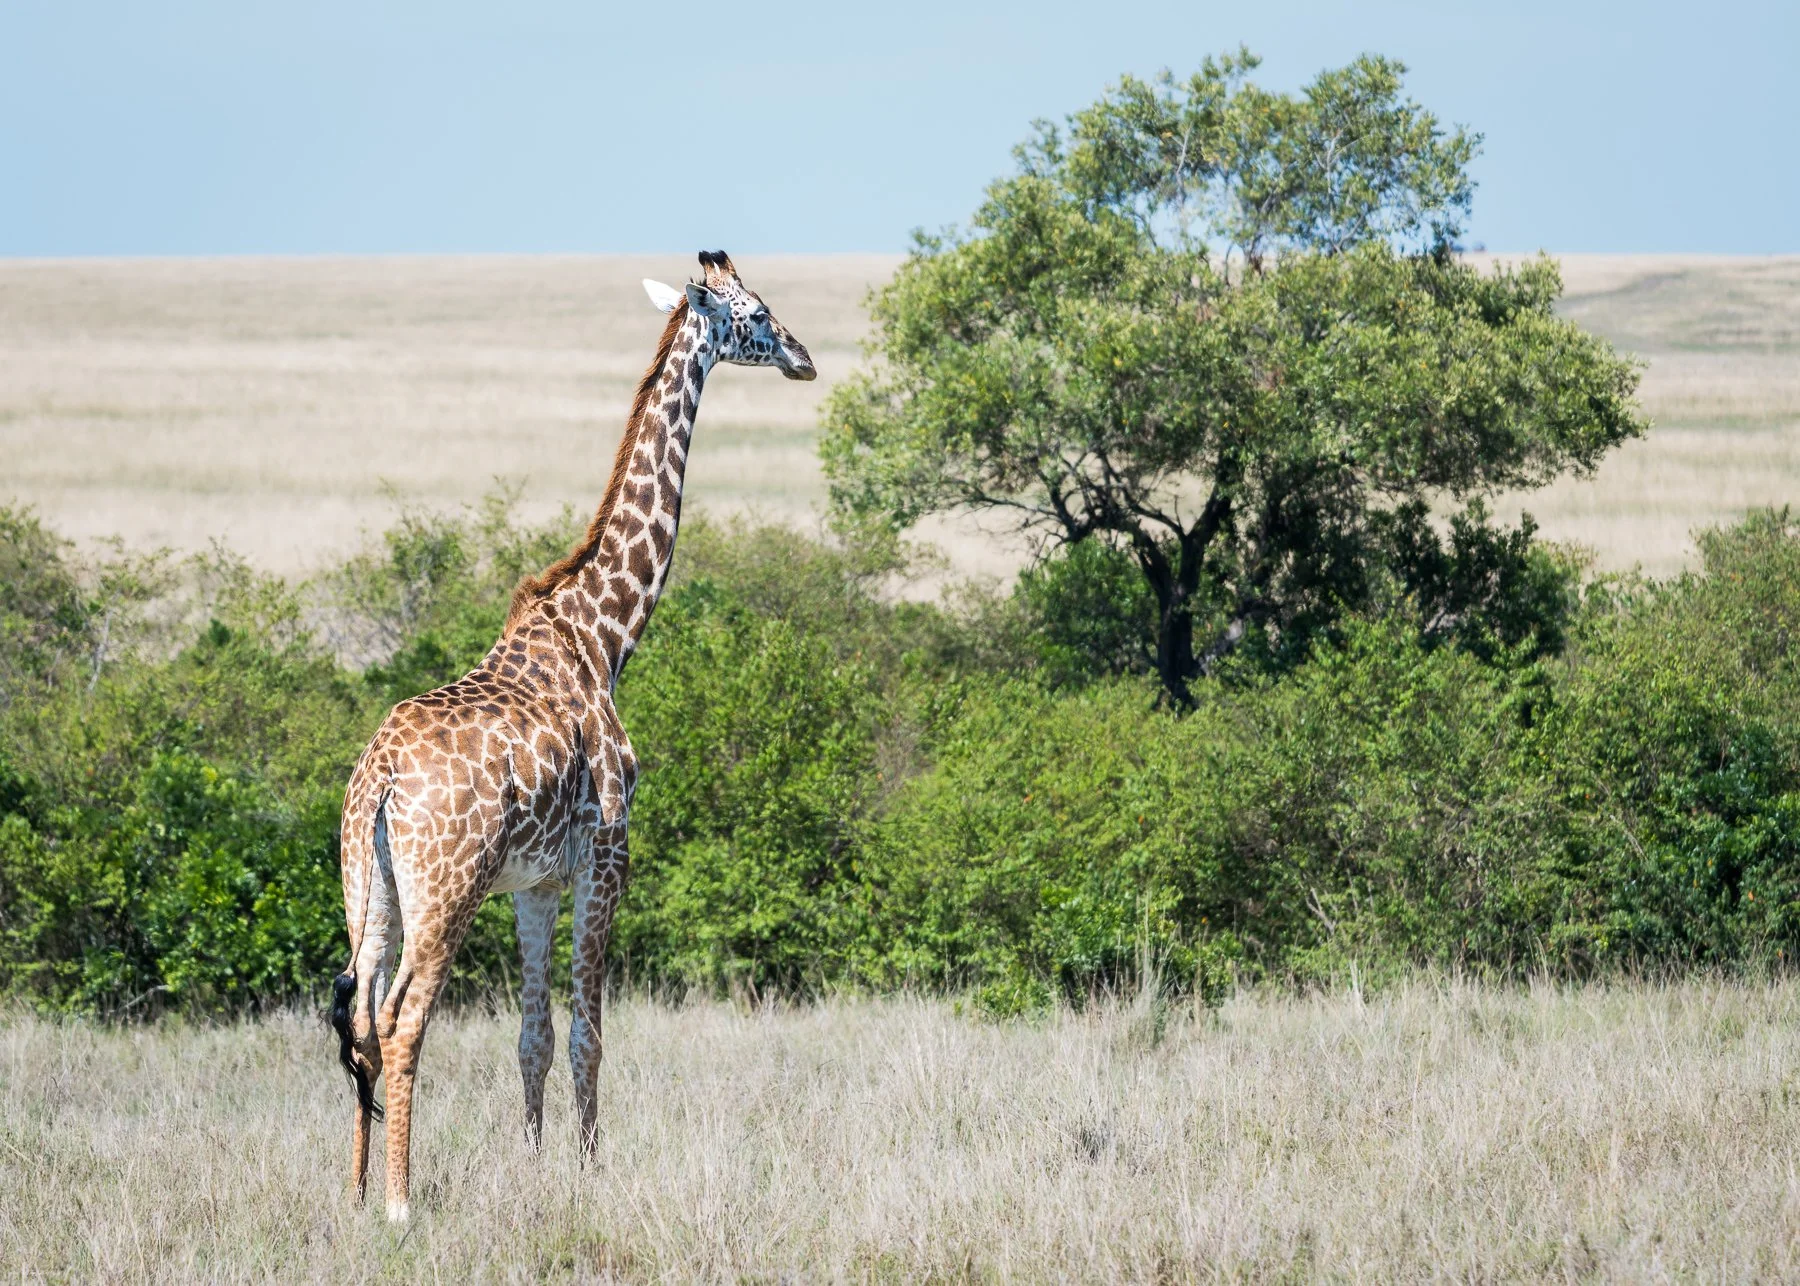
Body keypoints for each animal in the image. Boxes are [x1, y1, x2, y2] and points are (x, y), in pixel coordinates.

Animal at [328, 251, 816, 1222]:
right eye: (755, 313)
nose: (804, 356)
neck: (605, 635)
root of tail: (384, 778)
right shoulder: (607, 855)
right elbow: (590, 1032)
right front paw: (592, 1176)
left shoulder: (537, 884)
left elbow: (534, 1037)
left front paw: (535, 1168)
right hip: (446, 888)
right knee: (401, 1020)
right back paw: (401, 1205)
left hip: (372, 887)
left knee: (359, 1014)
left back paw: (357, 1195)